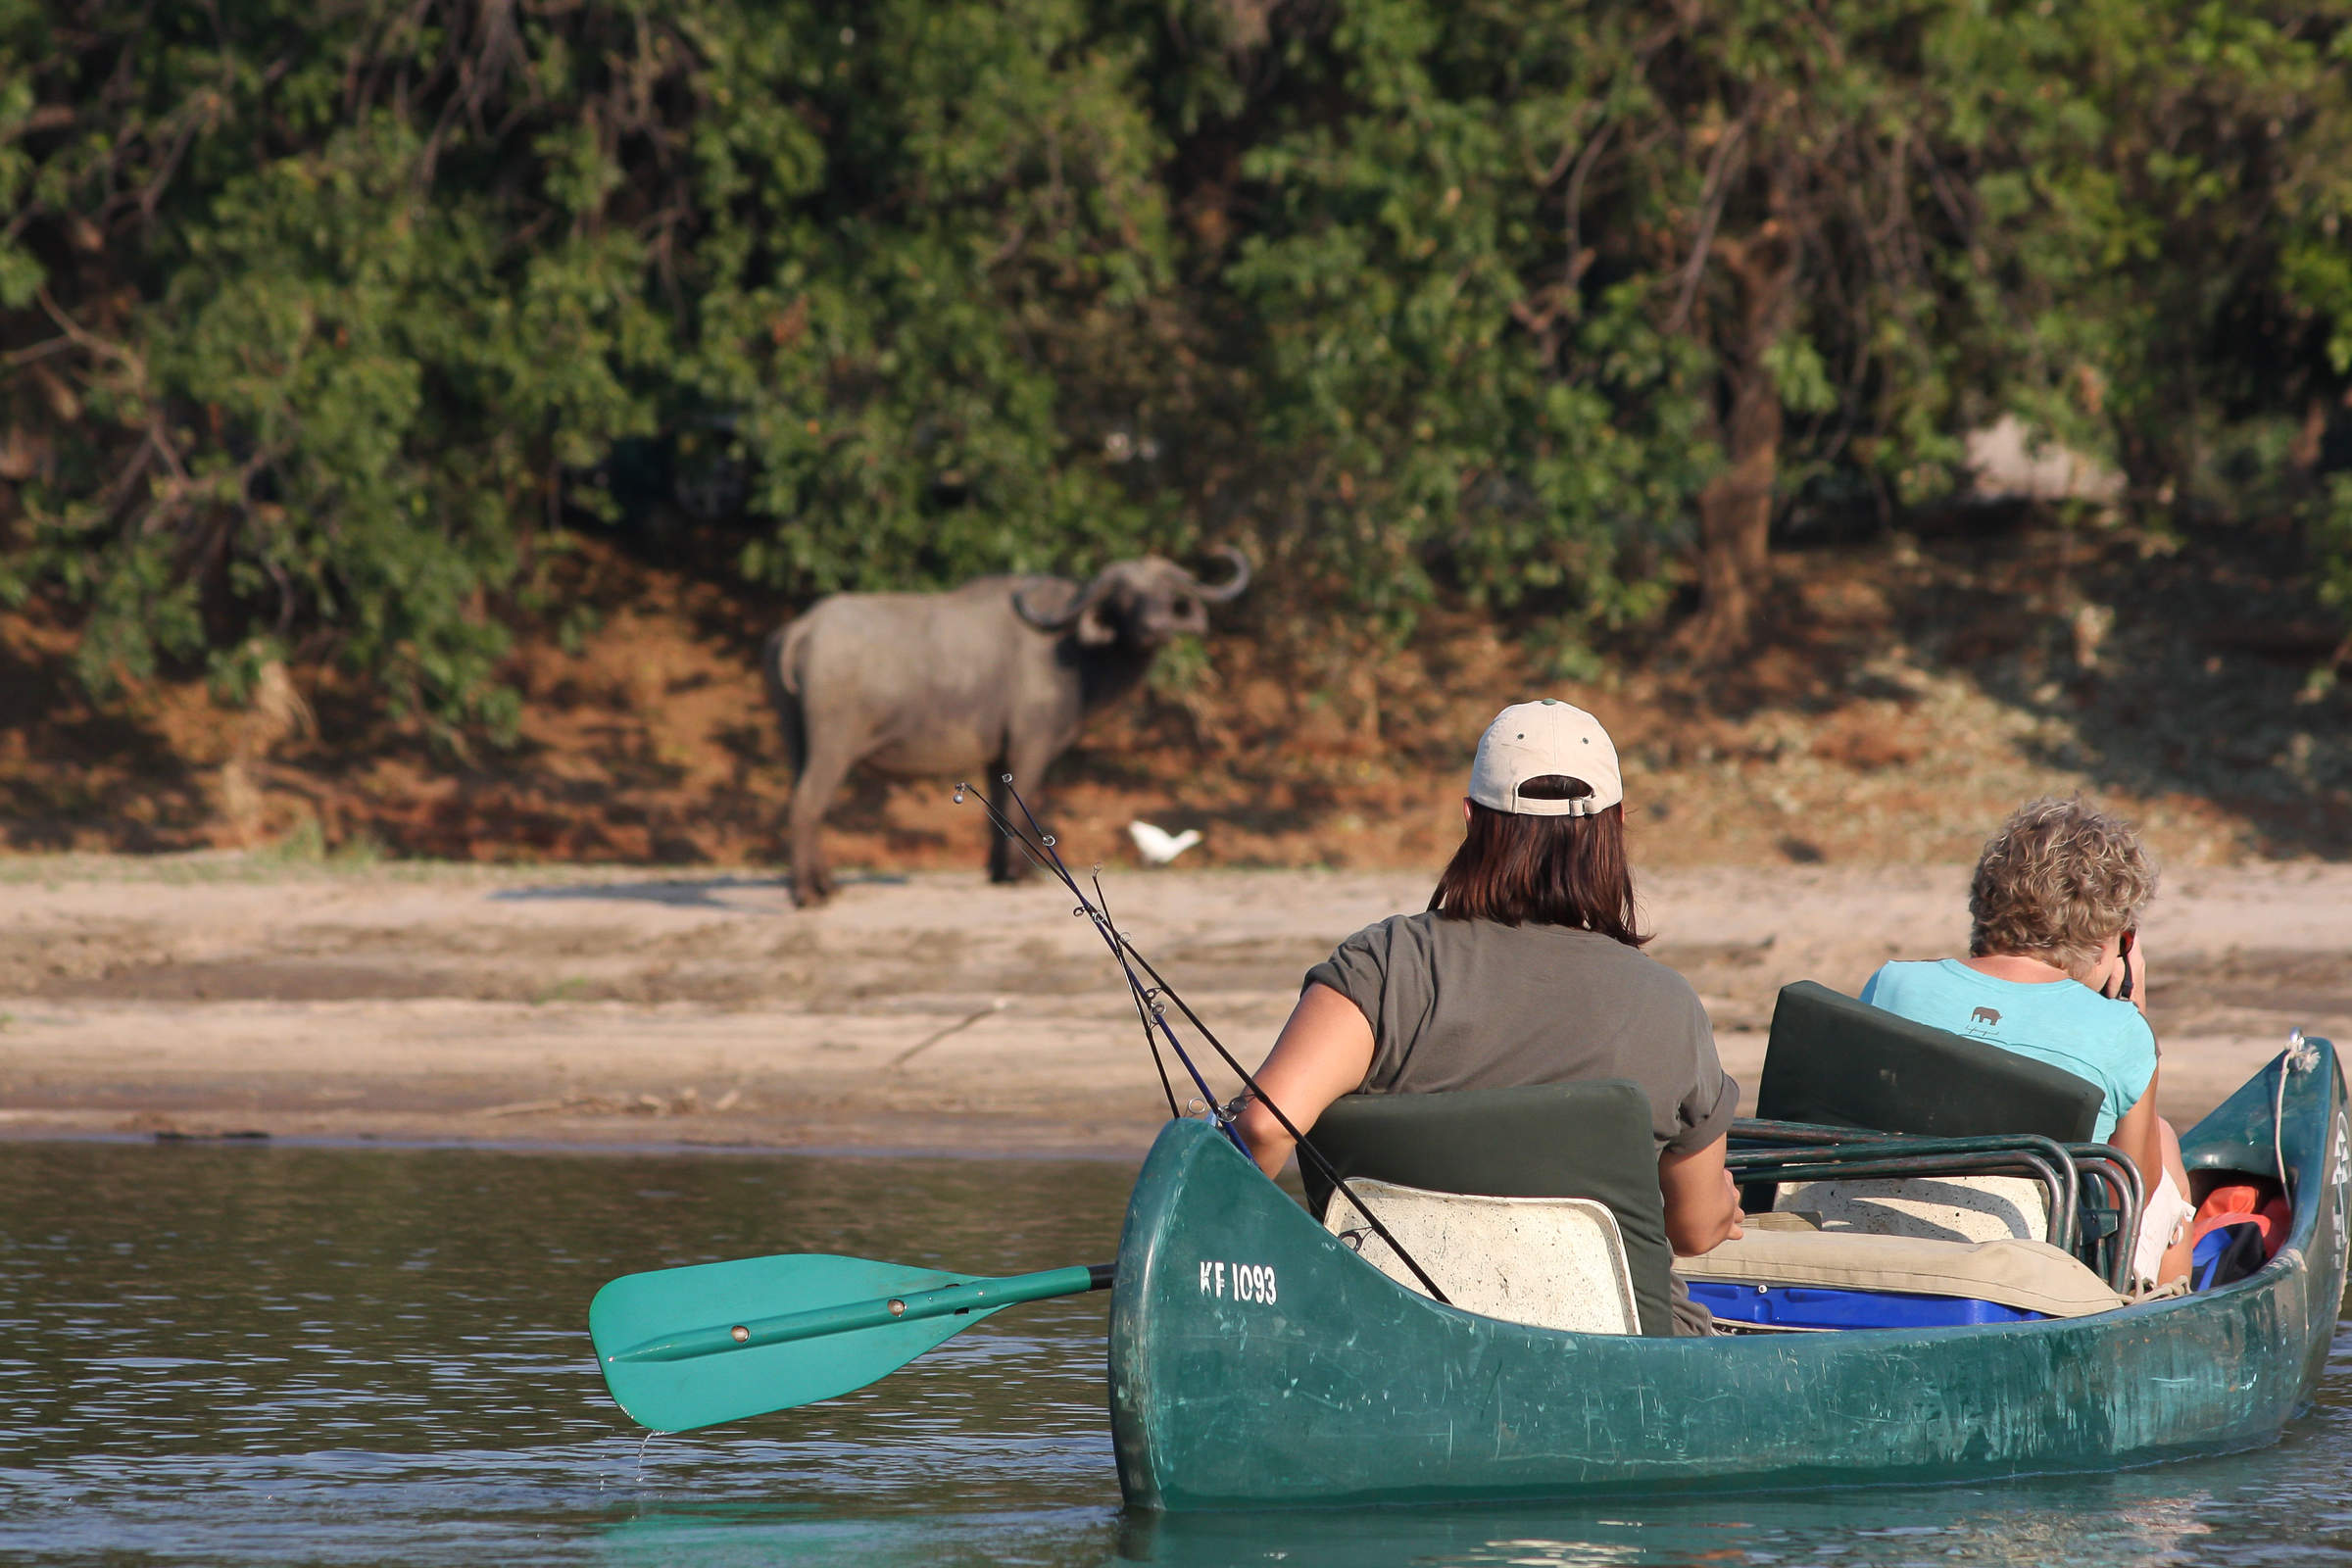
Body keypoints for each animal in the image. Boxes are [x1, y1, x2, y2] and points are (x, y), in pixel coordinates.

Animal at [766, 550, 1250, 903]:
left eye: (1165, 593)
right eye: (1124, 597)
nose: (1156, 628)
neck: (1072, 651)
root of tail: (806, 626)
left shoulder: (996, 757)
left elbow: (997, 810)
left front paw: (999, 873)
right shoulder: (1030, 745)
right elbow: (1022, 806)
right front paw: (1019, 876)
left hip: (796, 740)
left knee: (803, 803)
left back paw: (824, 883)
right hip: (833, 746)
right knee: (808, 803)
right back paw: (808, 893)